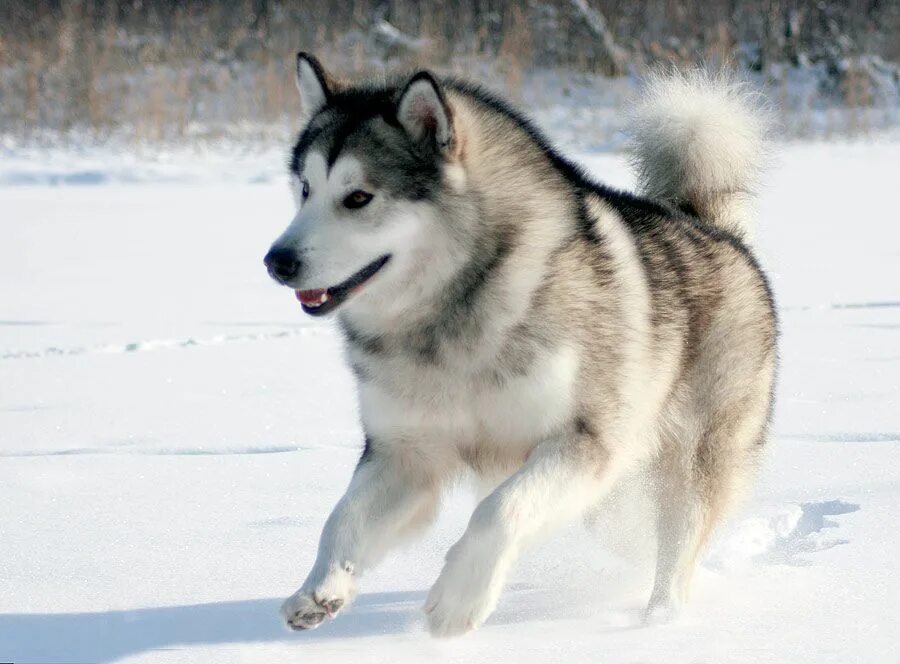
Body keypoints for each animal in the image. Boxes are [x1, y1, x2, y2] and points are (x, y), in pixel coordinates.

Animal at [264, 54, 776, 636]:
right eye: (306, 188)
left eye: (358, 198)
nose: (277, 261)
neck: (450, 318)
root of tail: (712, 229)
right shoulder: (405, 453)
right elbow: (343, 517)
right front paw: (321, 587)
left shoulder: (581, 443)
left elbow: (499, 509)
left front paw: (459, 600)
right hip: (615, 500)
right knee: (639, 539)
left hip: (688, 457)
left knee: (677, 545)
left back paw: (660, 619)